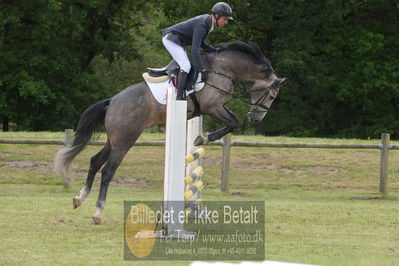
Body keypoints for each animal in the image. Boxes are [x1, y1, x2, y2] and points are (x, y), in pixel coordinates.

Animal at [55, 41, 288, 224]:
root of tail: (112, 101)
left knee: (95, 162)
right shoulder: (212, 106)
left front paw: (201, 138)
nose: (256, 118)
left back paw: (79, 198)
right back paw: (98, 213)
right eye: (271, 95)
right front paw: (203, 138)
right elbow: (233, 122)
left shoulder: (216, 107)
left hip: (114, 139)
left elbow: (232, 122)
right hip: (125, 140)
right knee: (108, 171)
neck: (224, 69)